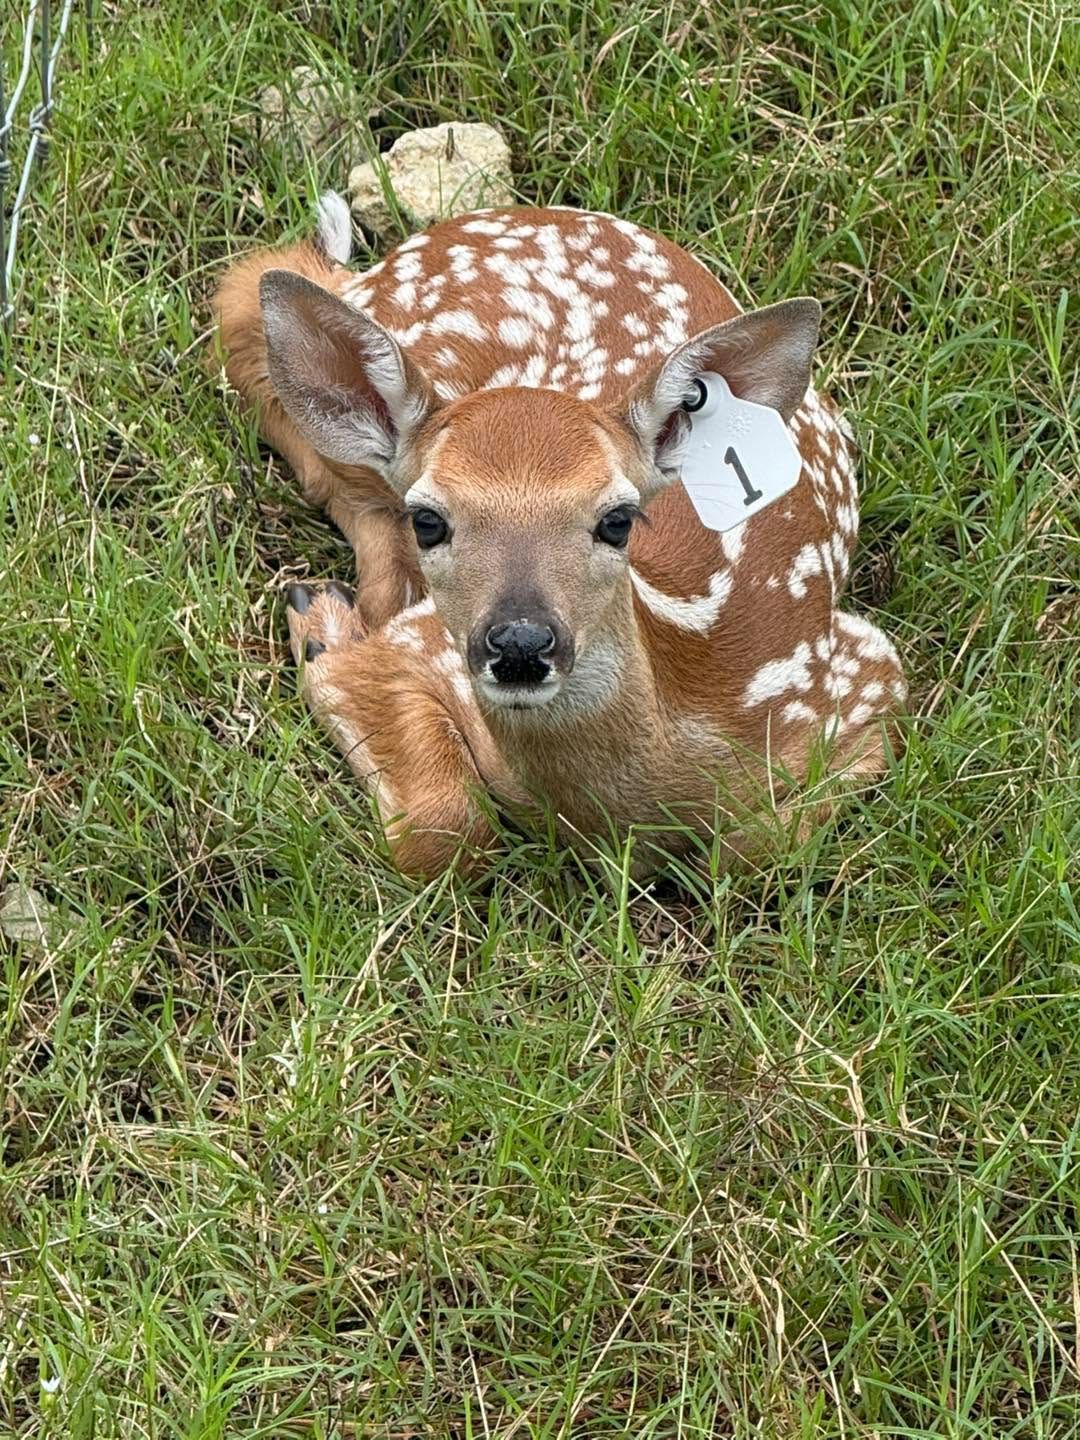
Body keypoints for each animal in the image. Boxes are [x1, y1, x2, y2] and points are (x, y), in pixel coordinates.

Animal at [213, 192, 906, 878]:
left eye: (618, 520)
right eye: (429, 520)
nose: (520, 643)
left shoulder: (863, 674)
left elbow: (751, 850)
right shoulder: (424, 644)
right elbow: (444, 831)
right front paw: (322, 635)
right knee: (248, 298)